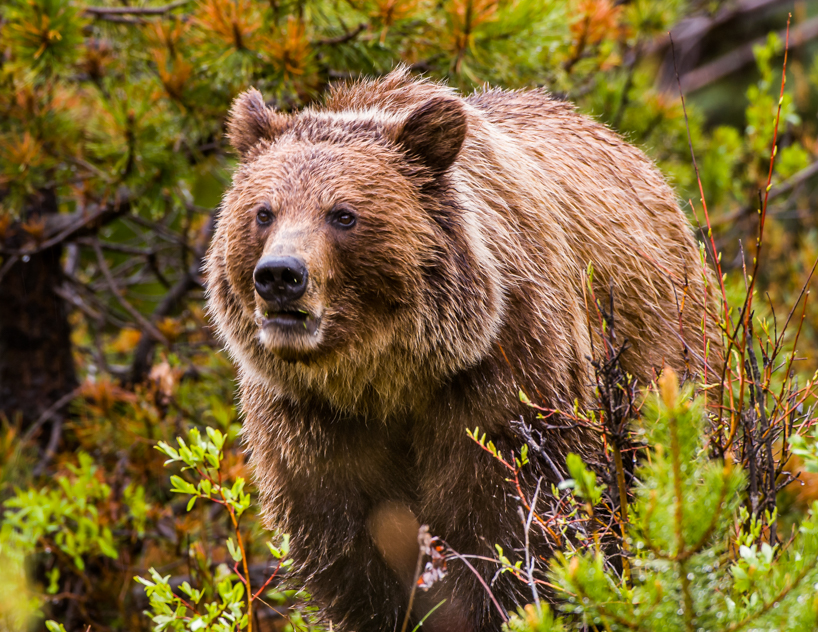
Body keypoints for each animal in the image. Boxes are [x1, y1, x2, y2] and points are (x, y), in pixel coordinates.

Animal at [204, 67, 722, 631]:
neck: (386, 377)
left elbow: (510, 535)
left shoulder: (503, 382)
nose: (280, 276)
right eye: (263, 212)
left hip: (662, 355)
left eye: (342, 214)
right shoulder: (314, 427)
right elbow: (356, 561)